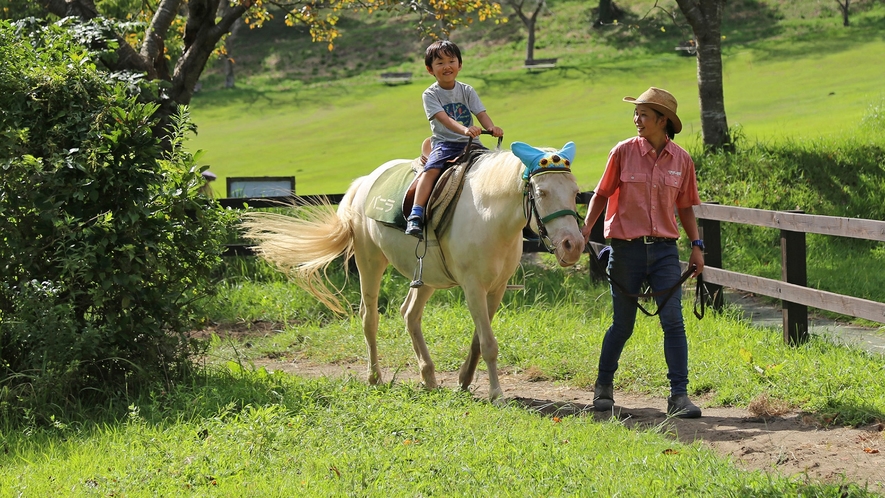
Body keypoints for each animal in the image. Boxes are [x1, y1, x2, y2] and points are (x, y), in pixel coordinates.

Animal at [243, 141, 588, 400]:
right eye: (541, 193)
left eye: (575, 193)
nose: (572, 245)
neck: (490, 214)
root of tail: (363, 183)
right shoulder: (473, 287)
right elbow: (489, 344)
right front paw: (496, 394)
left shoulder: (497, 288)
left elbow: (480, 339)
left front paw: (464, 380)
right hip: (370, 262)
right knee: (369, 317)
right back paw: (375, 377)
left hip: (427, 276)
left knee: (409, 314)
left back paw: (429, 376)